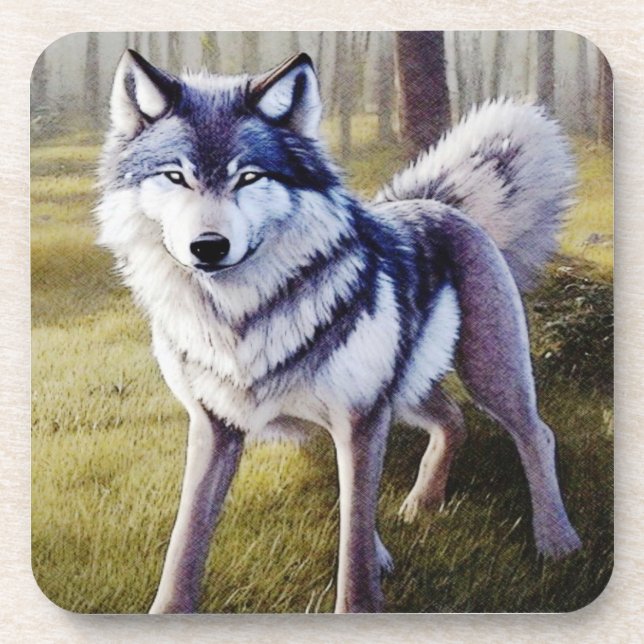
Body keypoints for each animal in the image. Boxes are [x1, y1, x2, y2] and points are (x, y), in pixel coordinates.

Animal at [96, 48, 582, 613]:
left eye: (249, 178)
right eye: (176, 176)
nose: (209, 247)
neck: (242, 319)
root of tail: (436, 203)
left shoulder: (359, 419)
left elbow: (353, 540)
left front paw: (360, 604)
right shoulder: (216, 426)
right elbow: (186, 537)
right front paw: (168, 612)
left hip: (487, 375)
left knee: (536, 434)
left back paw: (557, 541)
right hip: (405, 391)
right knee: (453, 420)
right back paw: (421, 505)